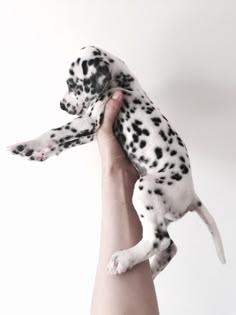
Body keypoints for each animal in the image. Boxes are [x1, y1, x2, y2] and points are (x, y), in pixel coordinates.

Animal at [8, 45, 226, 278]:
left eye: (72, 84)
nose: (62, 105)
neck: (122, 82)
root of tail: (192, 195)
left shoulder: (89, 121)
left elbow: (53, 133)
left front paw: (27, 144)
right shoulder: (92, 132)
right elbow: (62, 143)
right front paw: (36, 153)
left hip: (145, 188)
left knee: (160, 240)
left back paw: (124, 259)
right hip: (159, 212)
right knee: (170, 246)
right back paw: (152, 269)